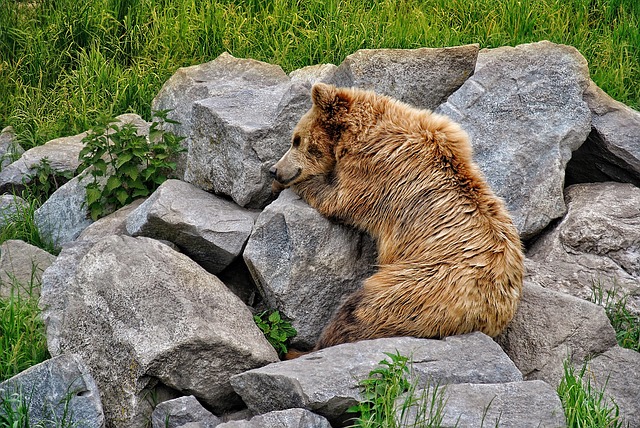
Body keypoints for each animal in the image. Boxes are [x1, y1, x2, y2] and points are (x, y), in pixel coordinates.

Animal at [268, 82, 524, 350]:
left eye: (296, 140)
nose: (274, 170)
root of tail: (488, 314)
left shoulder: (376, 172)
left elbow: (338, 199)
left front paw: (293, 184)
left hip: (418, 286)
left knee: (360, 313)